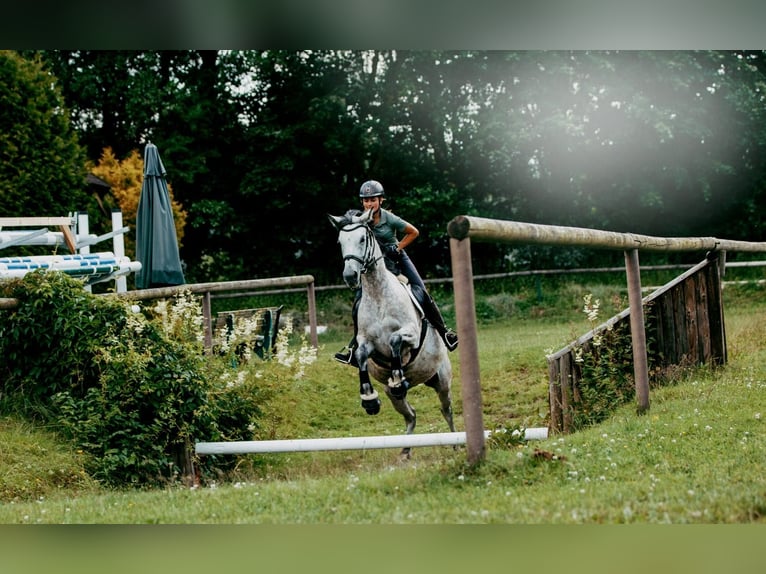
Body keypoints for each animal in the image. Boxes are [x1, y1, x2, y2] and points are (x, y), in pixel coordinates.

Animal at [330, 210, 456, 460]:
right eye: (340, 242)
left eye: (362, 239)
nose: (350, 276)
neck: (378, 295)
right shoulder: (365, 343)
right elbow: (360, 356)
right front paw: (369, 399)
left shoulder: (411, 335)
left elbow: (396, 341)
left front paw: (398, 377)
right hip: (394, 396)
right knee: (411, 415)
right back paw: (405, 450)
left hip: (443, 380)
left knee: (446, 409)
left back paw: (457, 443)